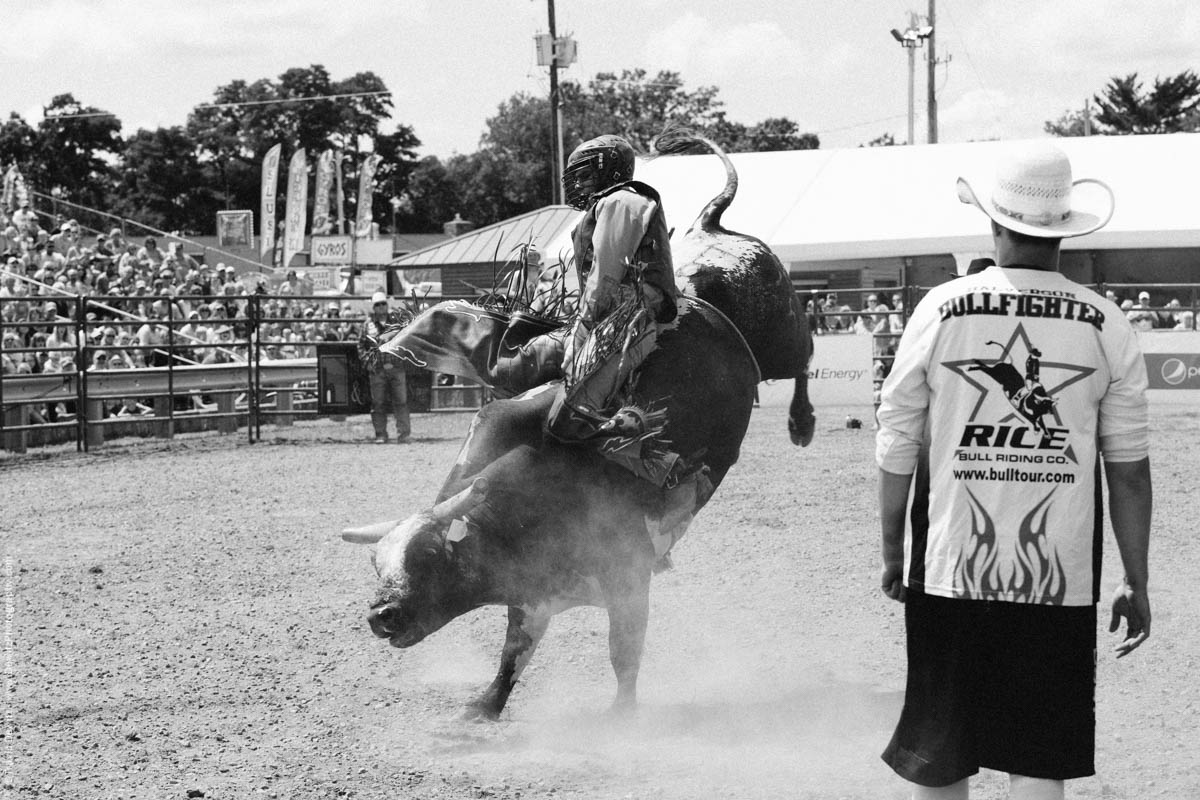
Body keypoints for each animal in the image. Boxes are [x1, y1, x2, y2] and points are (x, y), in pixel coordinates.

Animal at [345, 131, 816, 719]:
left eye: (430, 554)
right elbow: (514, 653)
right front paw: (485, 705)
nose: (380, 615)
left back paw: (802, 422)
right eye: (375, 561)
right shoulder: (533, 596)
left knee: (804, 355)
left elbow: (623, 652)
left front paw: (621, 715)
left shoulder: (629, 578)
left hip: (780, 328)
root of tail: (711, 228)